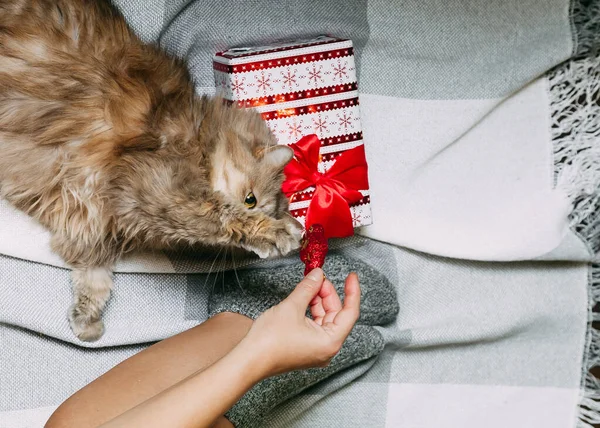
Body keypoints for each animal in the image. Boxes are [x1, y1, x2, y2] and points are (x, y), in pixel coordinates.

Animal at [0, 0, 302, 342]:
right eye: (250, 200)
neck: (199, 135)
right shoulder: (155, 191)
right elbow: (221, 216)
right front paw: (277, 232)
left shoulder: (100, 226)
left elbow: (95, 279)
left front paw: (86, 323)